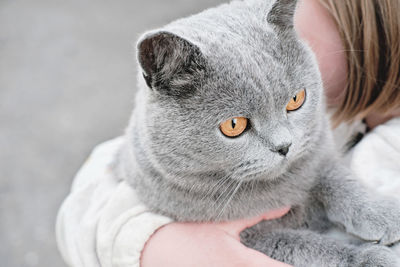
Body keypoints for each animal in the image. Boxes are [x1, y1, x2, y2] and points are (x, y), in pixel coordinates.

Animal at [111, 1, 400, 266]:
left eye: (296, 100)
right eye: (234, 125)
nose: (284, 146)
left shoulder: (318, 148)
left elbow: (338, 179)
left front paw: (384, 215)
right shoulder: (252, 238)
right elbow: (308, 246)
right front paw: (369, 256)